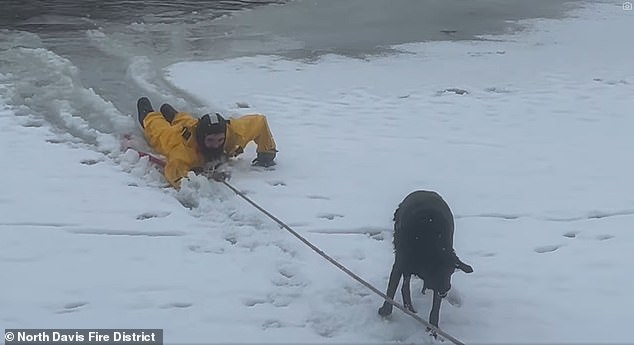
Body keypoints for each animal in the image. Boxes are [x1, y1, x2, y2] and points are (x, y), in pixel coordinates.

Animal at [378, 191, 472, 328]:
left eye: (451, 272)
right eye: (439, 272)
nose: (446, 290)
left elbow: (435, 307)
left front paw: (433, 328)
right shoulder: (401, 262)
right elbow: (392, 288)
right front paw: (385, 311)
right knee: (405, 284)